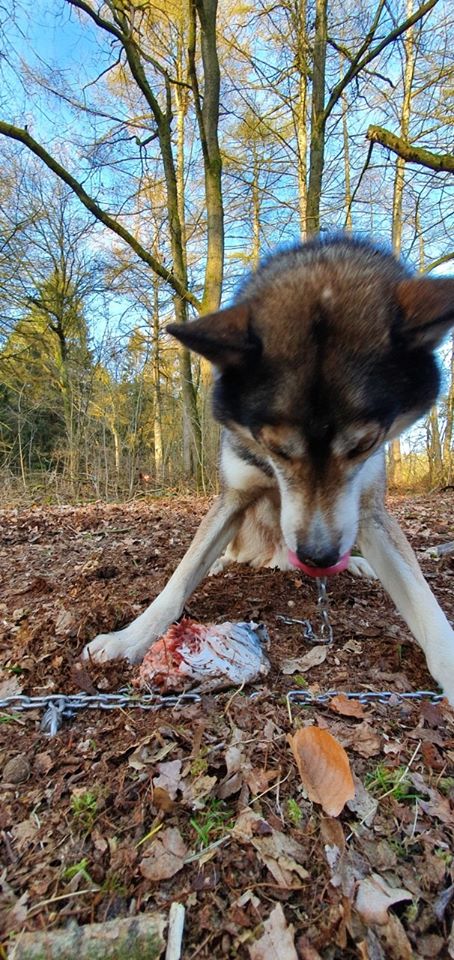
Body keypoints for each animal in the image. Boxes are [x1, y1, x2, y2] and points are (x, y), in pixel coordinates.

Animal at [83, 238, 454, 704]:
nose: (318, 557)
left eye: (363, 445)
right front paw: (131, 637)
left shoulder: (368, 509)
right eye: (276, 447)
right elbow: (179, 580)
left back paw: (355, 563)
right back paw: (225, 562)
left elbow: (424, 601)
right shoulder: (234, 496)